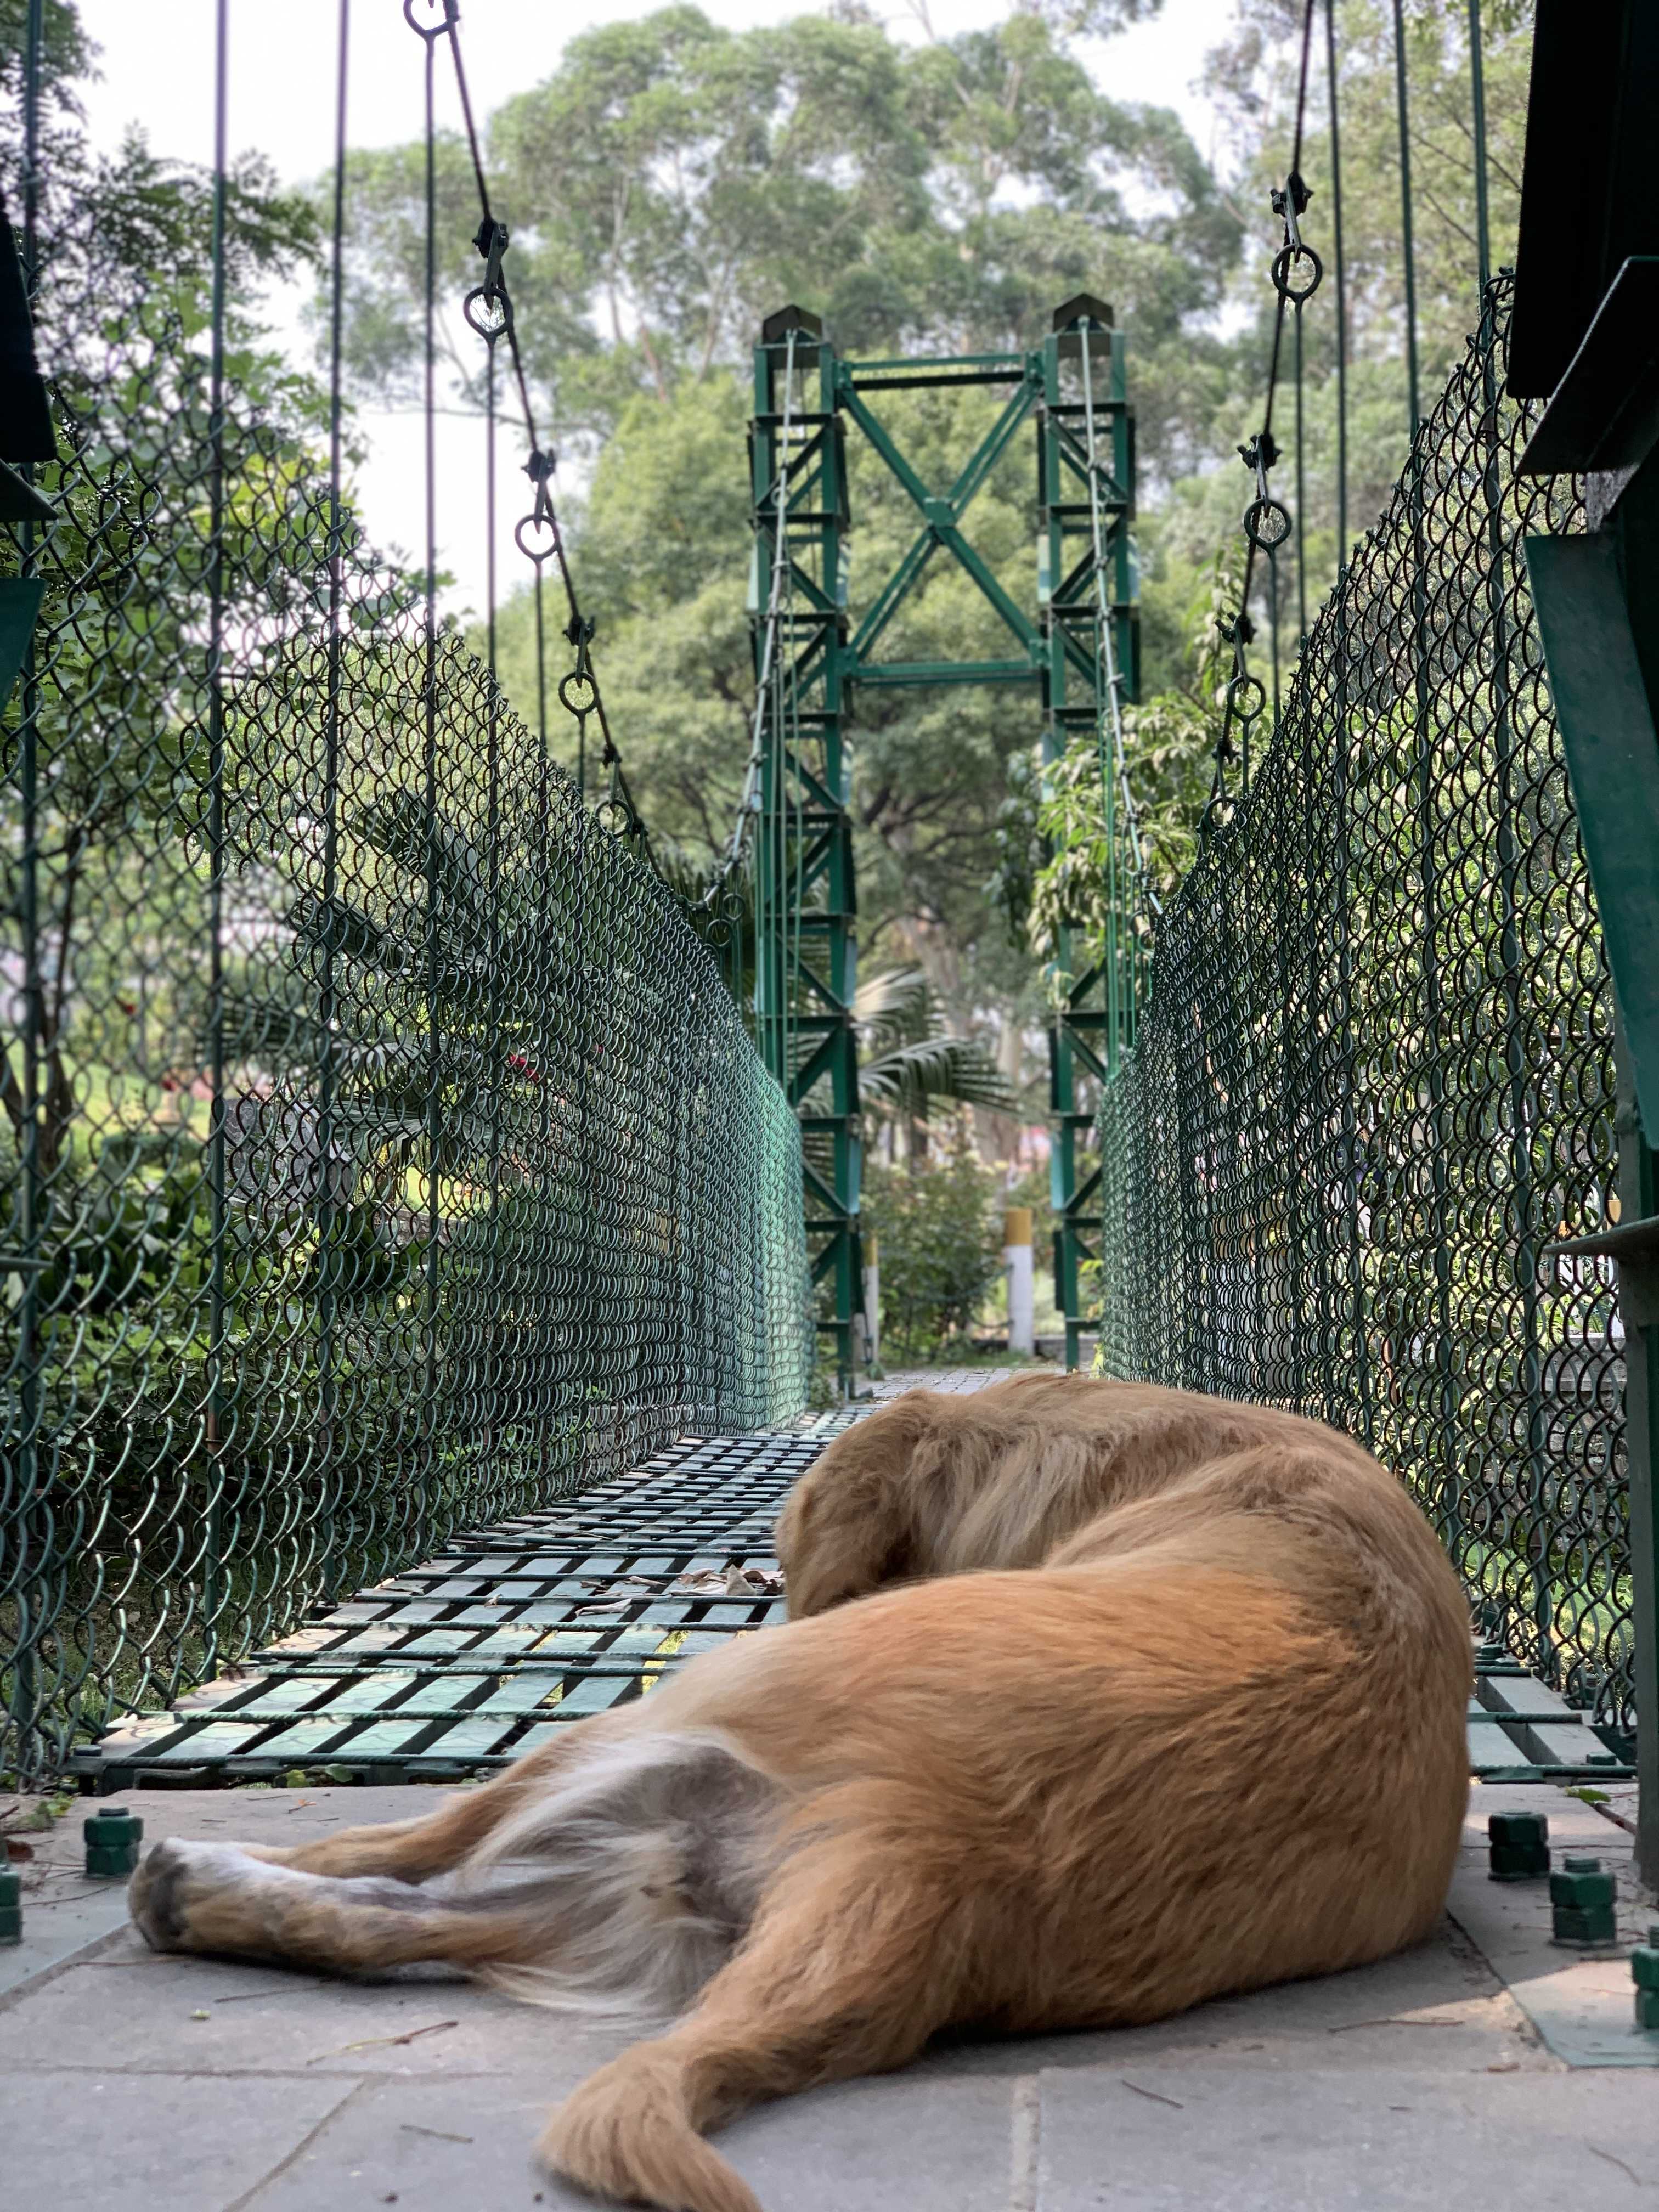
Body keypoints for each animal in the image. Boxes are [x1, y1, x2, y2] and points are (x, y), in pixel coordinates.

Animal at [133, 1371, 1477, 2203]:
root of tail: (935, 1847)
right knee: (402, 1917)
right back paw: (202, 1899)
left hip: (667, 1716)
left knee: (401, 1854)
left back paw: (197, 1878)